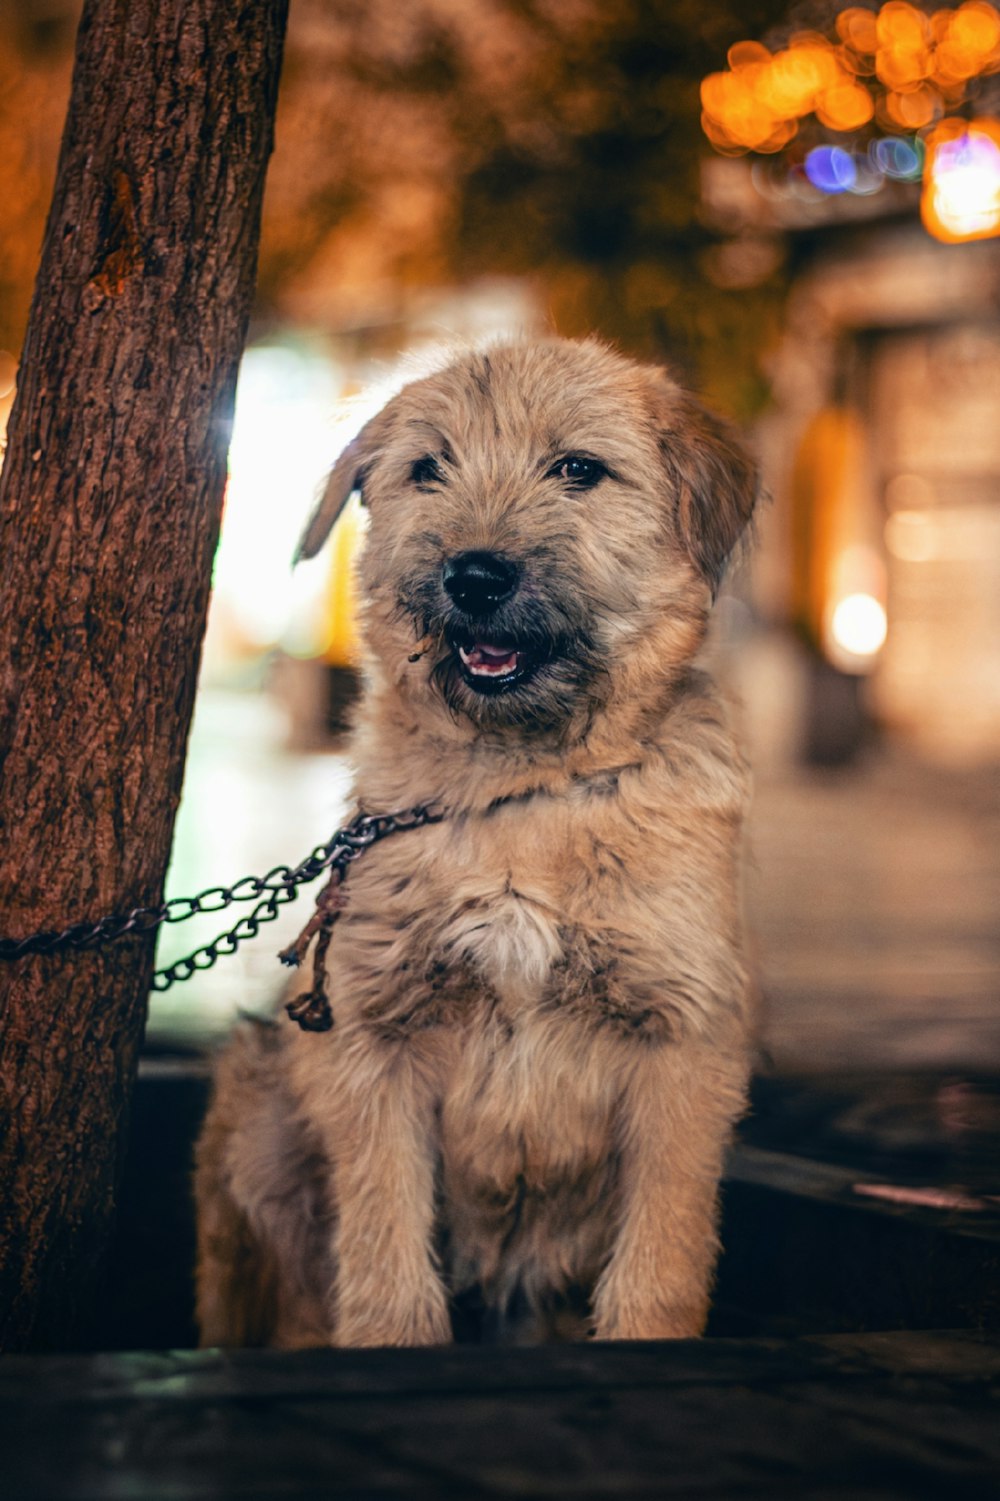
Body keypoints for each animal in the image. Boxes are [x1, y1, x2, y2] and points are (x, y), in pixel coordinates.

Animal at [192, 340, 756, 1350]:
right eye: (429, 469)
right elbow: (383, 1244)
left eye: (578, 469)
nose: (477, 575)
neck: (516, 795)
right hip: (253, 1110)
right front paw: (391, 1344)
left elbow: (662, 1254)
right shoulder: (368, 1037)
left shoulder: (685, 1039)